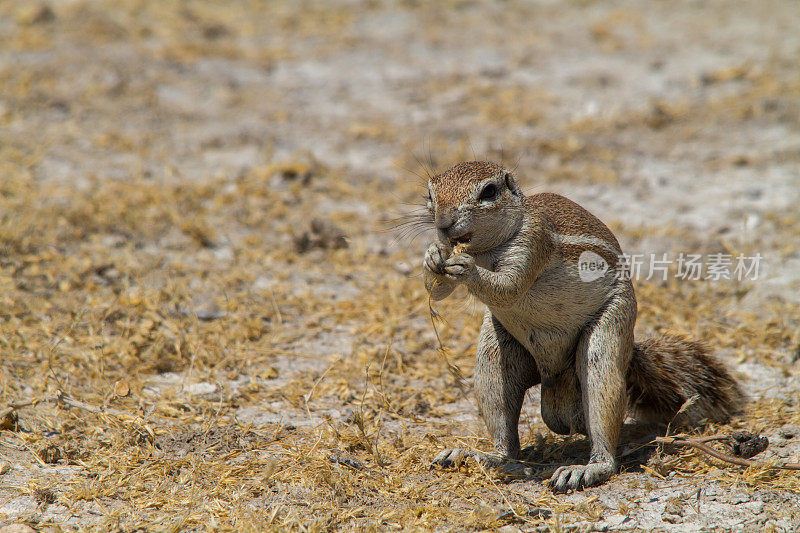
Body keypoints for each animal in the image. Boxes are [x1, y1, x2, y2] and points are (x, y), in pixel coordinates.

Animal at [422, 159, 740, 490]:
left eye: (489, 192)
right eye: (430, 195)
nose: (442, 223)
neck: (486, 248)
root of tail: (553, 375)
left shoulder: (533, 242)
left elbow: (509, 286)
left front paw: (466, 268)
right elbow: (439, 288)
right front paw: (432, 257)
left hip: (608, 335)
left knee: (603, 408)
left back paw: (587, 469)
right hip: (494, 356)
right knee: (507, 439)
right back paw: (479, 455)